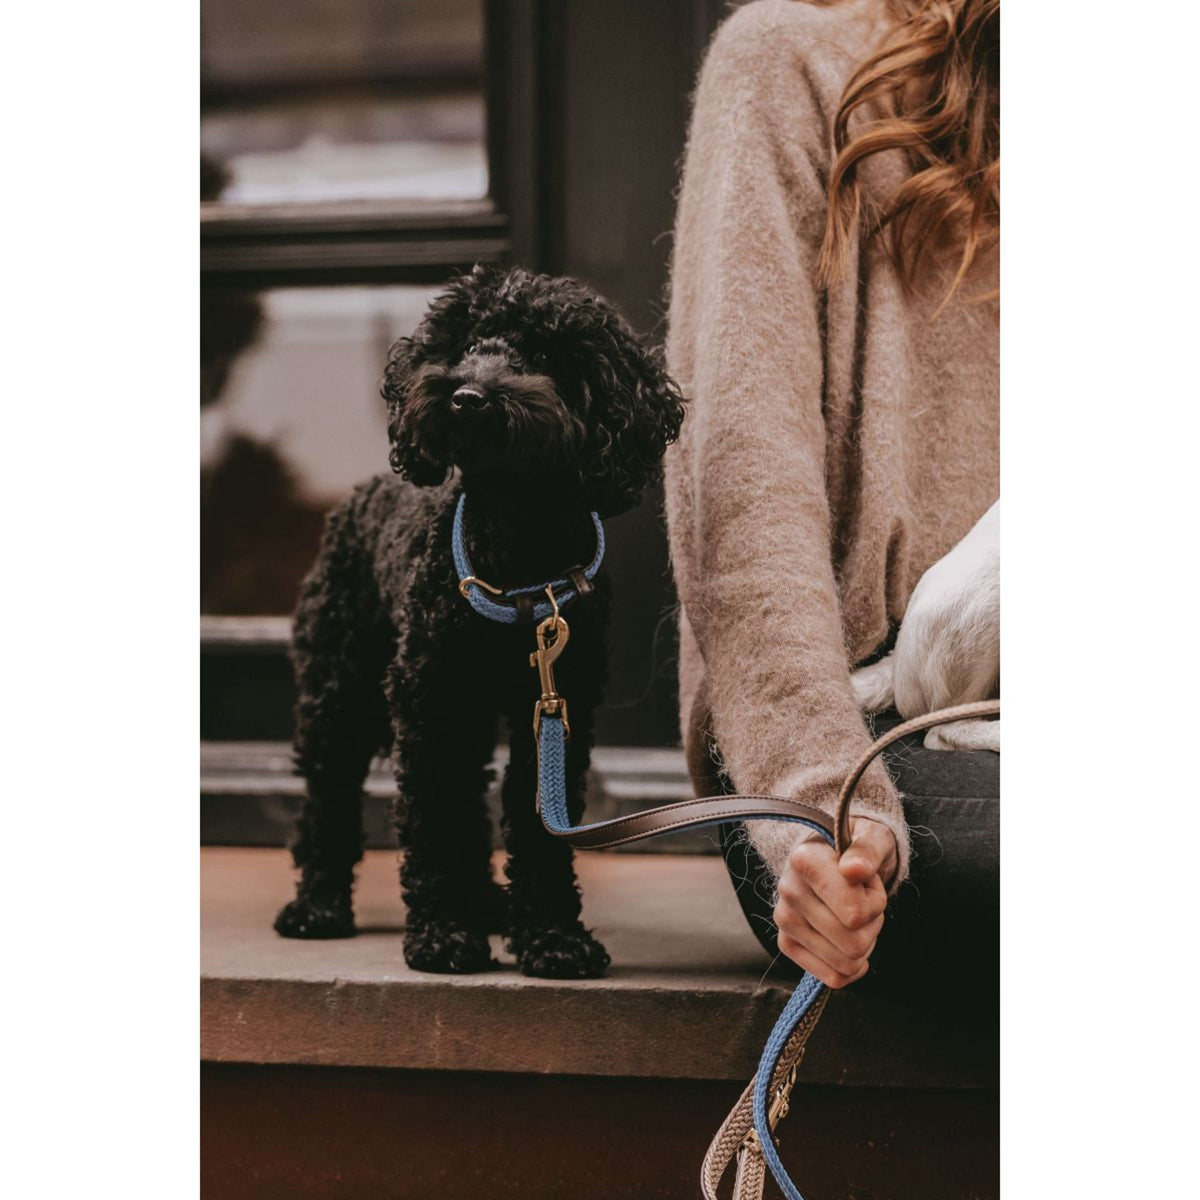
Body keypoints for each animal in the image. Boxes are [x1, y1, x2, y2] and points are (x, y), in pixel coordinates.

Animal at [274, 262, 686, 974]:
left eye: (545, 354)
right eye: (464, 345)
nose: (467, 395)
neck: (517, 547)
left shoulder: (557, 705)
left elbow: (538, 823)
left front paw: (552, 937)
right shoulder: (428, 697)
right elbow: (431, 818)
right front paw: (441, 936)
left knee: (466, 795)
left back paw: (486, 903)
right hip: (340, 689)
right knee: (329, 794)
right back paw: (318, 907)